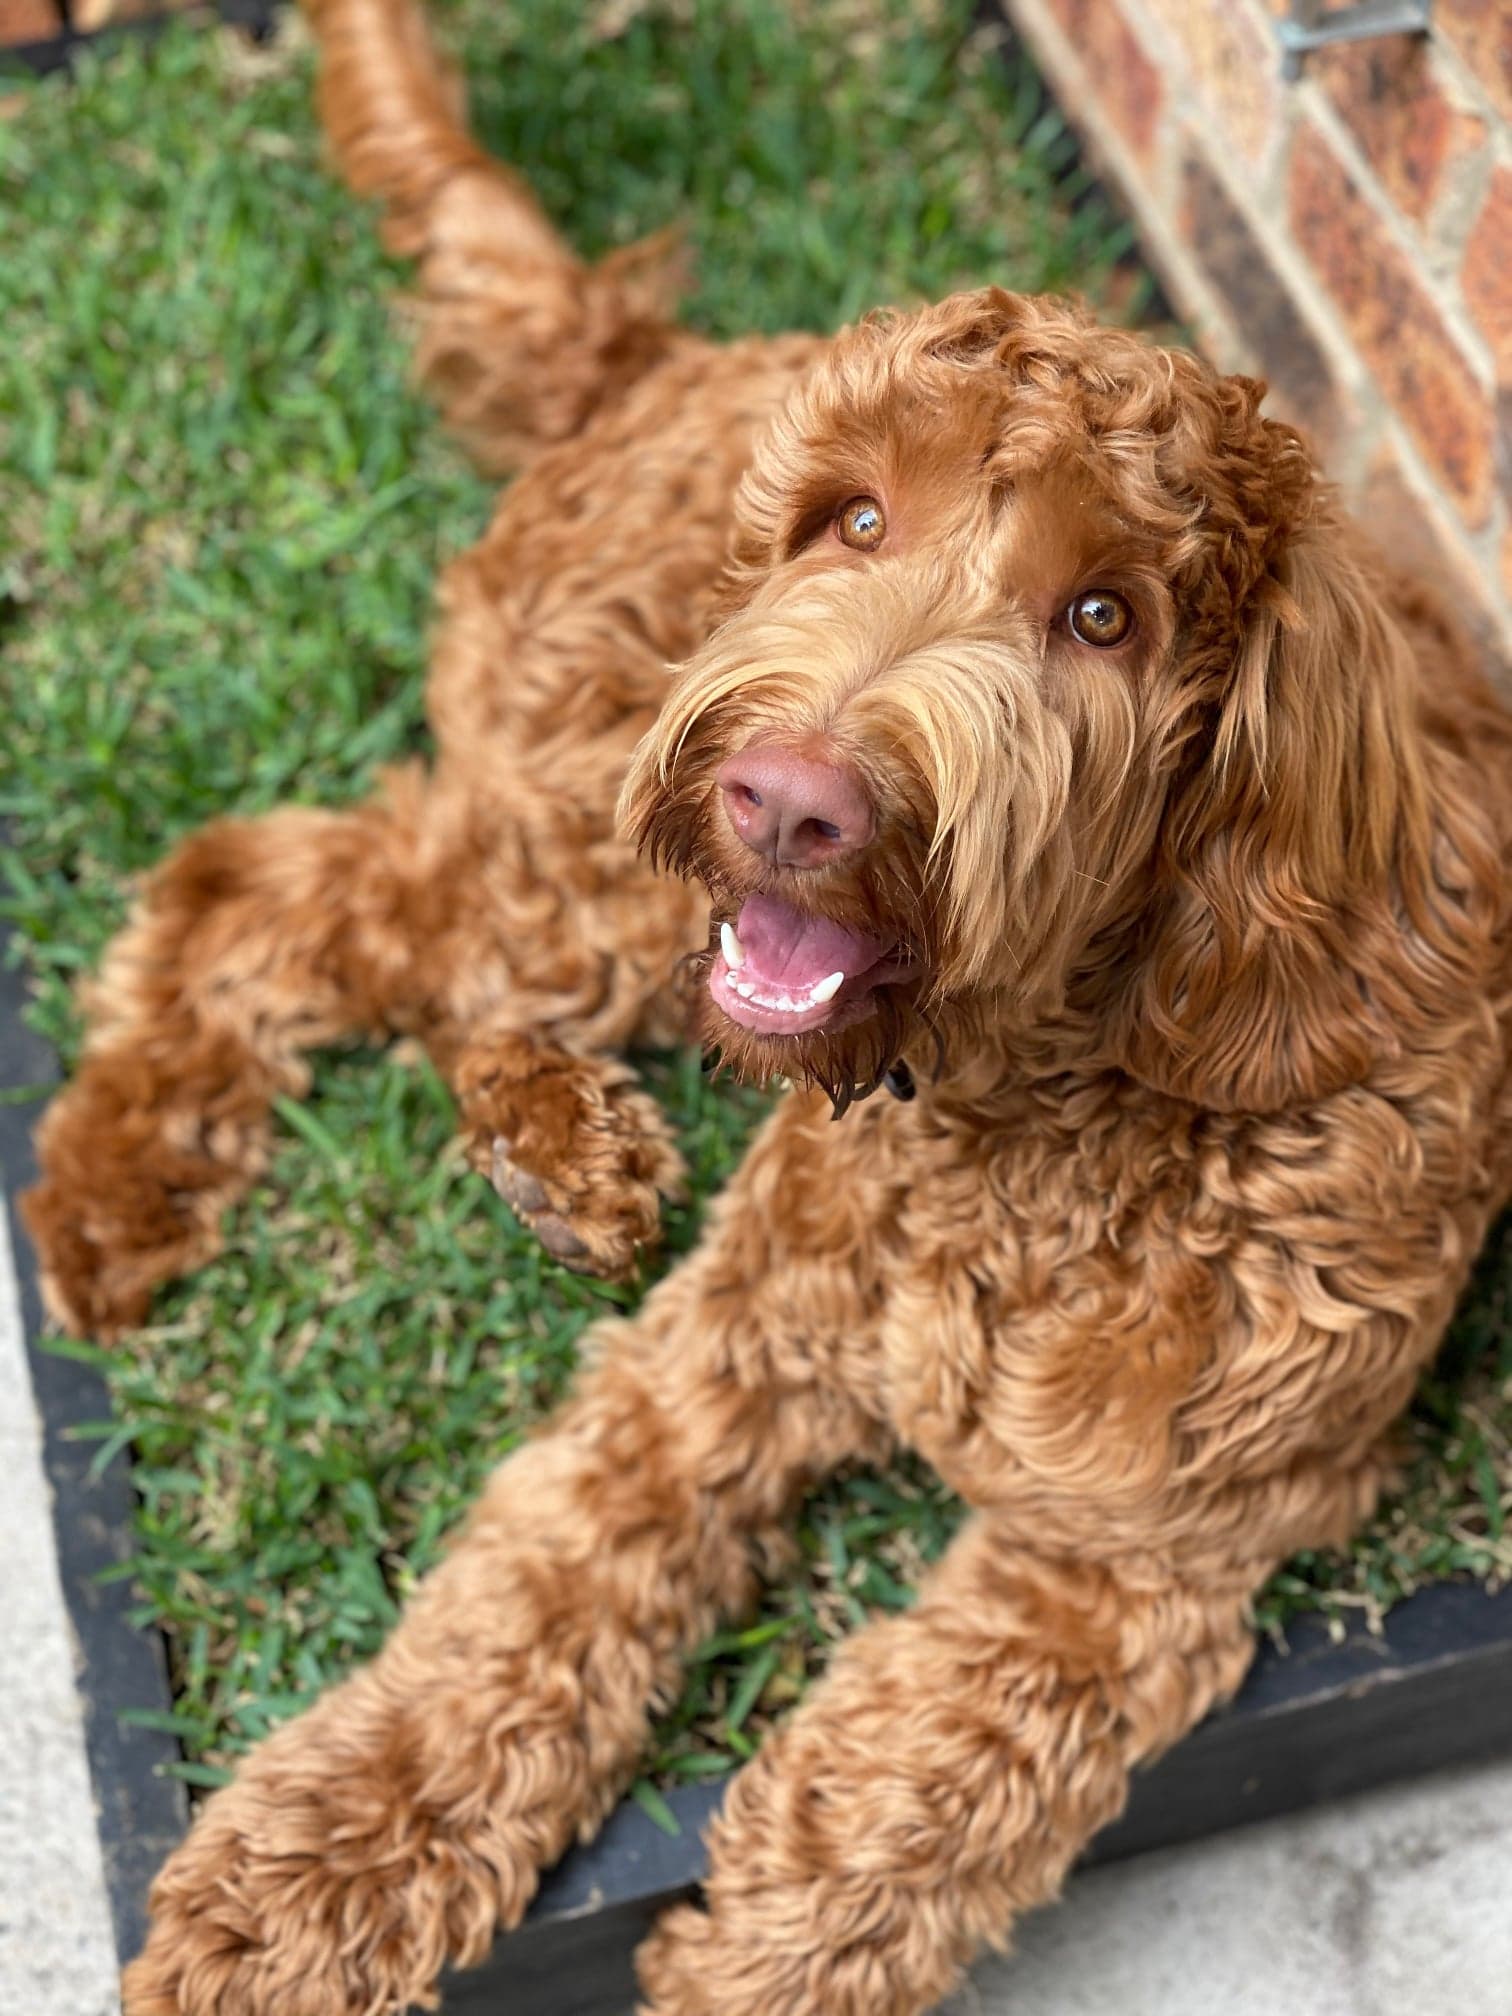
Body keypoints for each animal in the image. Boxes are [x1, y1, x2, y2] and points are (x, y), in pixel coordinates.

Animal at [20, 3, 1512, 2016]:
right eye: (855, 520)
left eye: (1105, 616)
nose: (791, 799)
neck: (1029, 1123)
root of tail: (657, 364)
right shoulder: (717, 1360)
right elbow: (531, 1593)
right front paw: (314, 1867)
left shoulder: (1130, 1564)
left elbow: (906, 1800)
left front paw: (742, 1960)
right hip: (600, 853)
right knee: (264, 891)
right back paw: (151, 1186)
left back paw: (534, 1163)